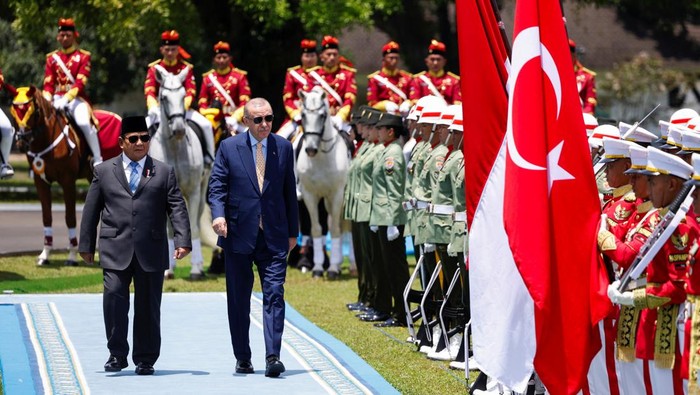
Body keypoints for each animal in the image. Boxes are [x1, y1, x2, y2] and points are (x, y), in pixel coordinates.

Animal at [11, 86, 92, 266]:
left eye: (33, 112)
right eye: (14, 112)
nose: (21, 142)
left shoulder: (68, 181)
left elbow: (70, 217)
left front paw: (72, 256)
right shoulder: (40, 181)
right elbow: (46, 217)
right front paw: (45, 255)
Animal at [145, 66, 205, 280]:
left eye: (184, 95)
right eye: (163, 97)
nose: (179, 129)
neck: (175, 148)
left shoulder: (194, 192)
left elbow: (193, 227)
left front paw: (195, 269)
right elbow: (169, 230)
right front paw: (167, 269)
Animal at [296, 86, 350, 278]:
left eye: (322, 115)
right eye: (303, 115)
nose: (311, 149)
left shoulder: (337, 195)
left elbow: (334, 229)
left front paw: (333, 268)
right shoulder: (309, 195)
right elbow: (316, 229)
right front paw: (318, 267)